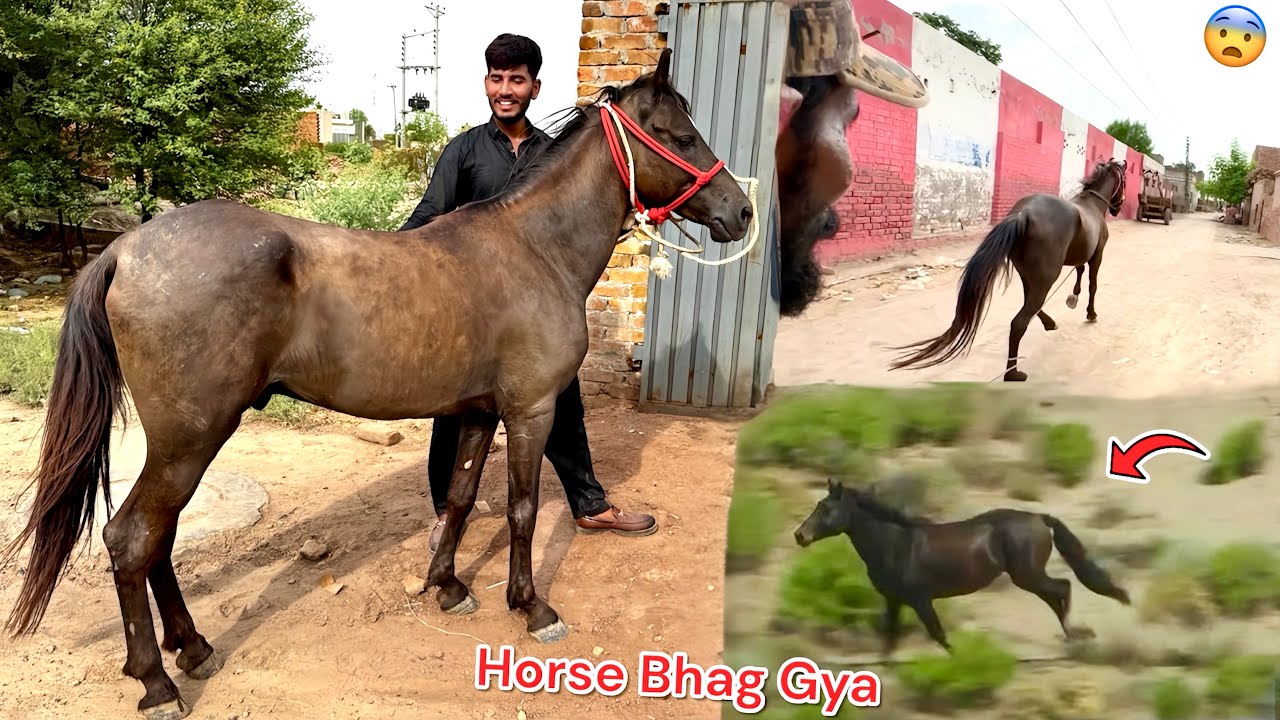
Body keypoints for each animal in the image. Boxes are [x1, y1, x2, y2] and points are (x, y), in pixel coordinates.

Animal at [0, 48, 753, 720]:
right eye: (680, 135)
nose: (742, 211)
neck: (534, 249)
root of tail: (126, 250)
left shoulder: (478, 413)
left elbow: (459, 498)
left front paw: (448, 587)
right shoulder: (531, 411)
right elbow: (523, 510)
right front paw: (532, 607)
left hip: (182, 446)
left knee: (158, 539)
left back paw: (192, 647)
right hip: (189, 440)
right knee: (132, 540)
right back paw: (157, 682)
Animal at [793, 479, 1131, 654]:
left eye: (826, 508)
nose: (800, 536)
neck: (893, 544)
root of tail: (1039, 518)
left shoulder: (921, 600)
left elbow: (939, 636)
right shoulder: (894, 601)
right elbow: (888, 640)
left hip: (1027, 575)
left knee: (1063, 587)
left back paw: (1075, 636)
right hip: (1027, 576)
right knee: (1056, 595)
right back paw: (1073, 636)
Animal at [887, 159, 1129, 382]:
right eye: (1124, 181)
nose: (1117, 208)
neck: (1092, 205)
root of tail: (1024, 214)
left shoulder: (1081, 258)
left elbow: (1080, 271)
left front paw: (1073, 298)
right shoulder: (1097, 255)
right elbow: (1092, 284)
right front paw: (1090, 313)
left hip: (1028, 275)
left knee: (1030, 306)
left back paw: (1047, 325)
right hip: (1046, 277)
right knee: (1020, 320)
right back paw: (1013, 373)